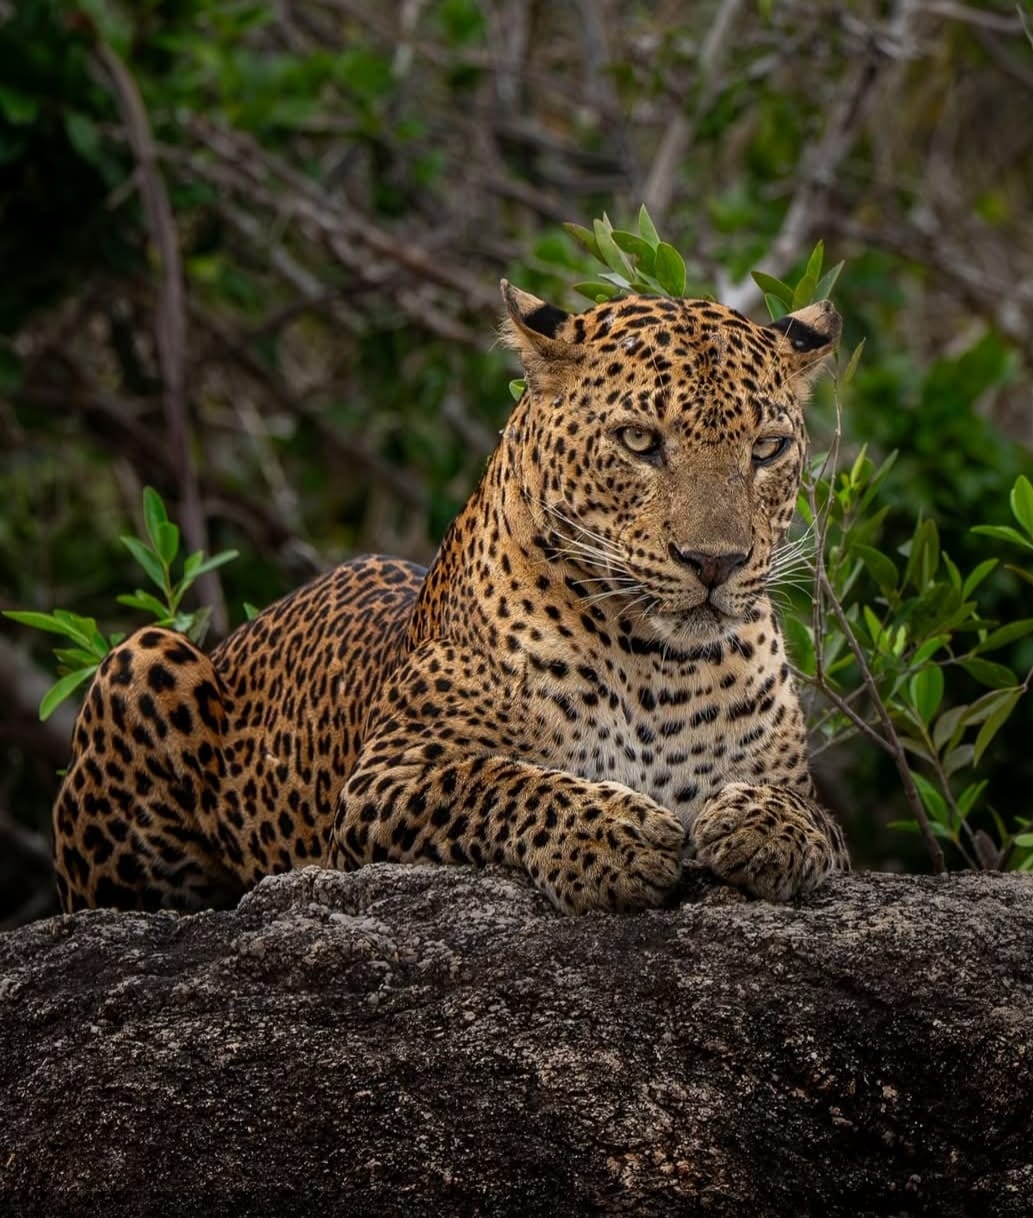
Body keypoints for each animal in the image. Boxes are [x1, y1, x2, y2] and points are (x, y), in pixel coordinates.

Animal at [52, 281, 850, 916]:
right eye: (638, 441)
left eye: (768, 449)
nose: (715, 562)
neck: (662, 669)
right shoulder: (383, 782)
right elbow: (495, 782)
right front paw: (613, 839)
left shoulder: (799, 788)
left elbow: (818, 818)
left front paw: (764, 828)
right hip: (142, 657)